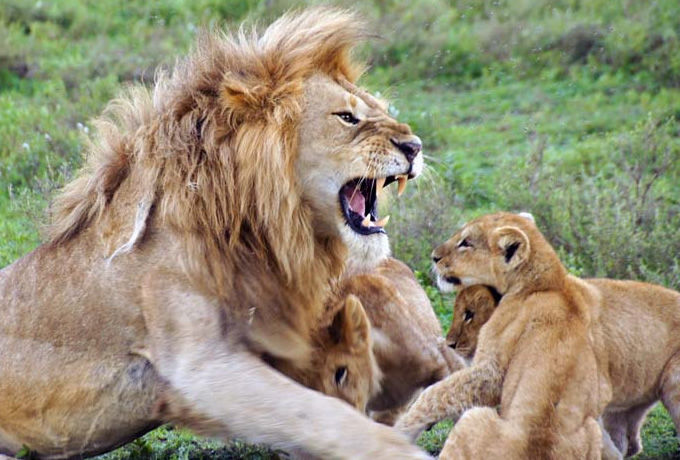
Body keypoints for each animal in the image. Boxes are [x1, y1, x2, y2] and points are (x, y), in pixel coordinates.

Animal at [0, 8, 432, 460]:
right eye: (347, 117)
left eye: (379, 107)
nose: (415, 147)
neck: (252, 230)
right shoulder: (200, 369)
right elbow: (322, 415)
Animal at [396, 212, 608, 460]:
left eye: (466, 243)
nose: (434, 257)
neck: (552, 283)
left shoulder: (492, 371)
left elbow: (435, 392)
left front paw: (402, 428)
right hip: (593, 430)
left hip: (473, 418)